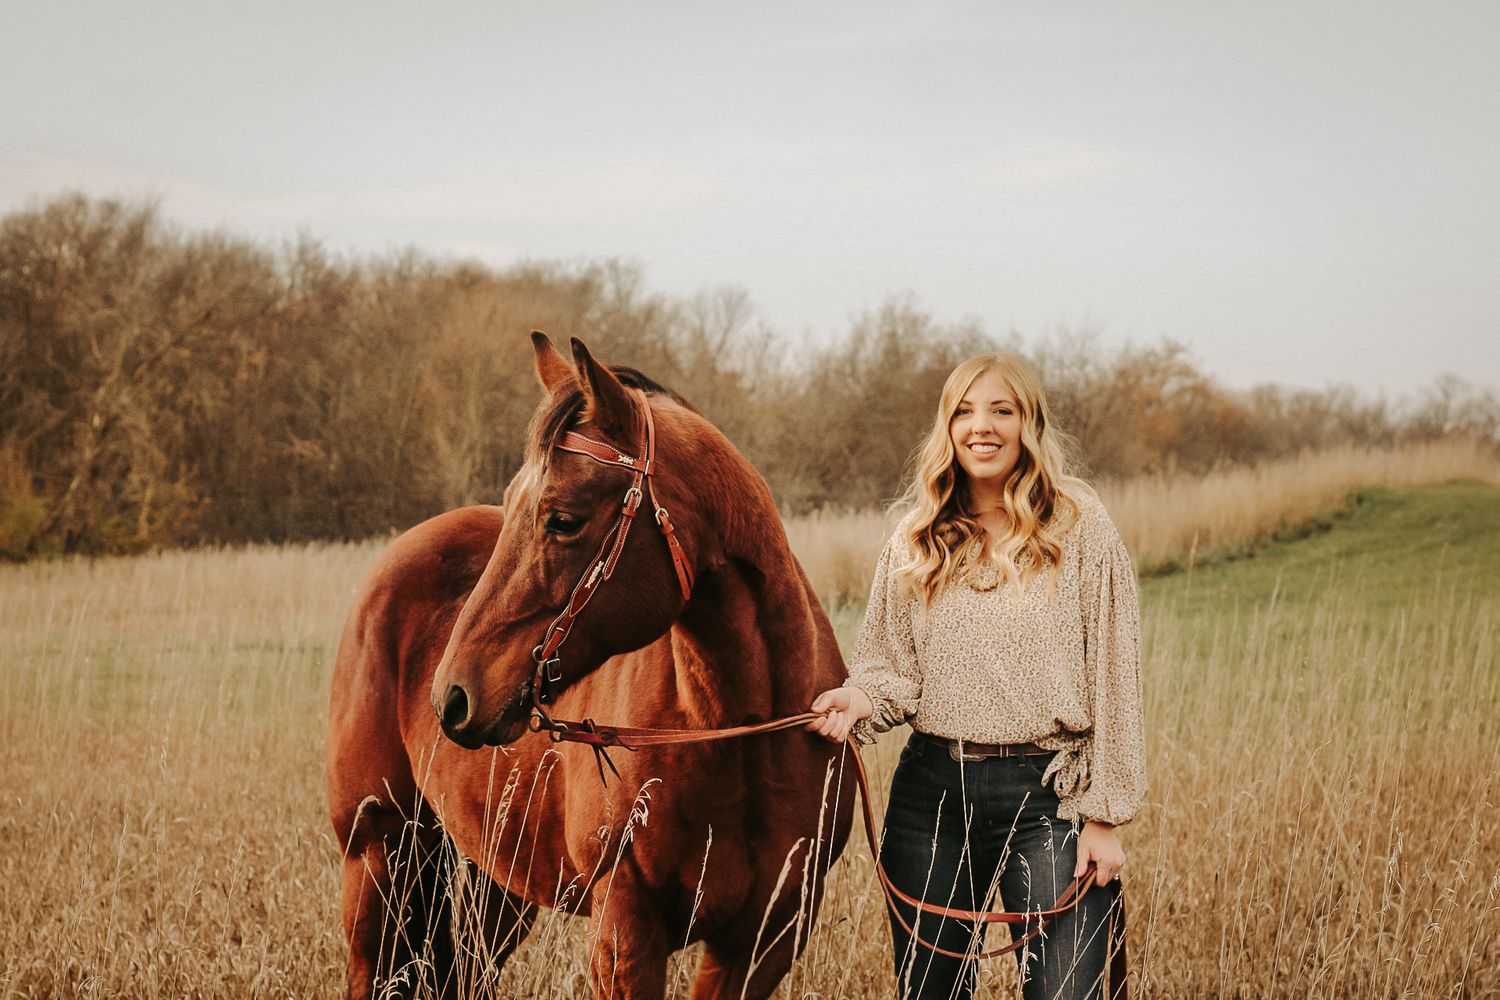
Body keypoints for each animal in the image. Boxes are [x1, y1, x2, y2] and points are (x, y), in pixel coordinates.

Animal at [327, 333, 855, 999]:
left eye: (563, 519)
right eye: (512, 504)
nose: (452, 697)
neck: (740, 737)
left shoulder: (763, 941)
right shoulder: (624, 928)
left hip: (492, 883)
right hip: (377, 856)